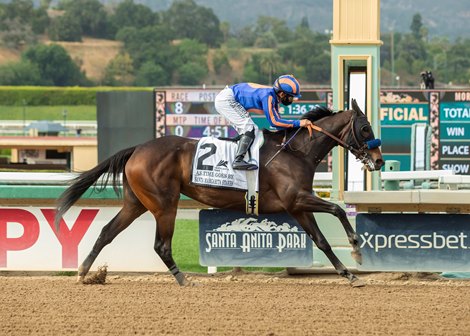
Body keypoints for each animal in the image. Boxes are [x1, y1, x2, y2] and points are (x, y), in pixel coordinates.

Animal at [55, 98, 384, 288]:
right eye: (366, 128)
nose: (379, 161)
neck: (296, 151)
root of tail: (137, 148)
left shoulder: (297, 206)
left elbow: (322, 241)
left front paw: (350, 274)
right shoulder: (296, 199)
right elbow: (338, 210)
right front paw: (356, 247)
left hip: (136, 203)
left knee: (107, 232)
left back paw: (84, 272)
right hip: (164, 204)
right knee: (161, 245)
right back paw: (183, 279)